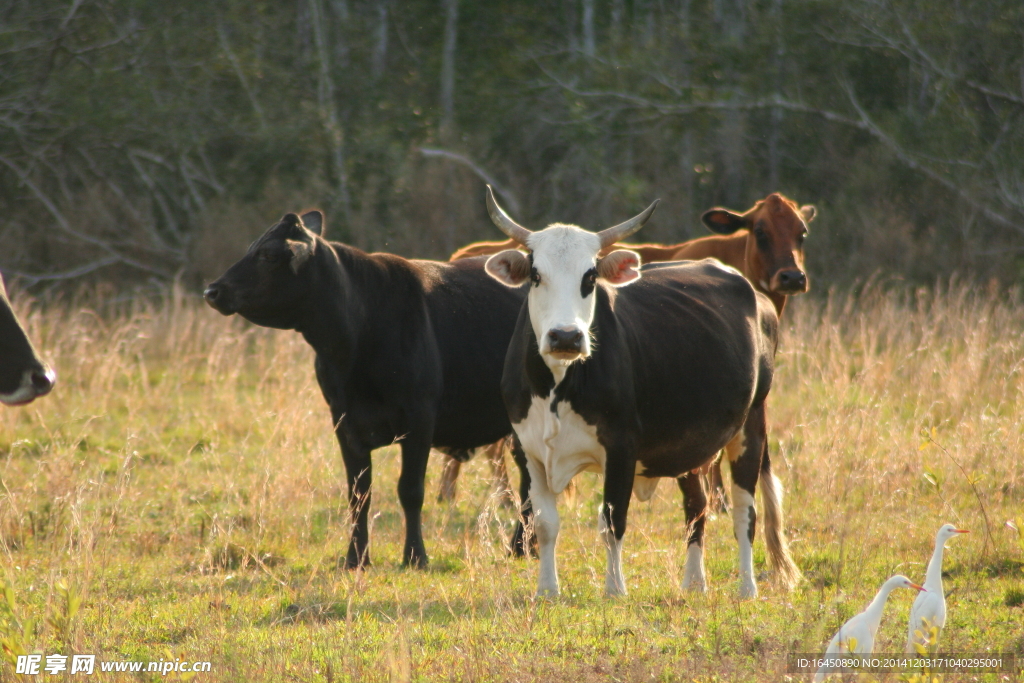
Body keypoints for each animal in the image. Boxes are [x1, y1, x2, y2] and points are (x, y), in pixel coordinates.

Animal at [204, 210, 532, 569]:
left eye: (268, 255)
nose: (213, 291)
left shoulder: (420, 418)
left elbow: (410, 490)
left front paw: (415, 556)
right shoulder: (344, 421)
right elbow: (359, 493)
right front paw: (356, 558)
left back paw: (520, 546)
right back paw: (524, 547)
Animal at [479, 187, 798, 598]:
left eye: (590, 277)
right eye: (535, 275)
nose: (565, 336)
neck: (557, 386)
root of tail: (752, 293)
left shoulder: (621, 449)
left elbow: (612, 522)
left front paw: (614, 589)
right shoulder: (528, 451)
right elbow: (545, 523)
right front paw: (547, 590)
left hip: (751, 426)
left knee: (745, 510)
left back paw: (747, 587)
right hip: (692, 442)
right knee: (697, 506)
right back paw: (694, 582)